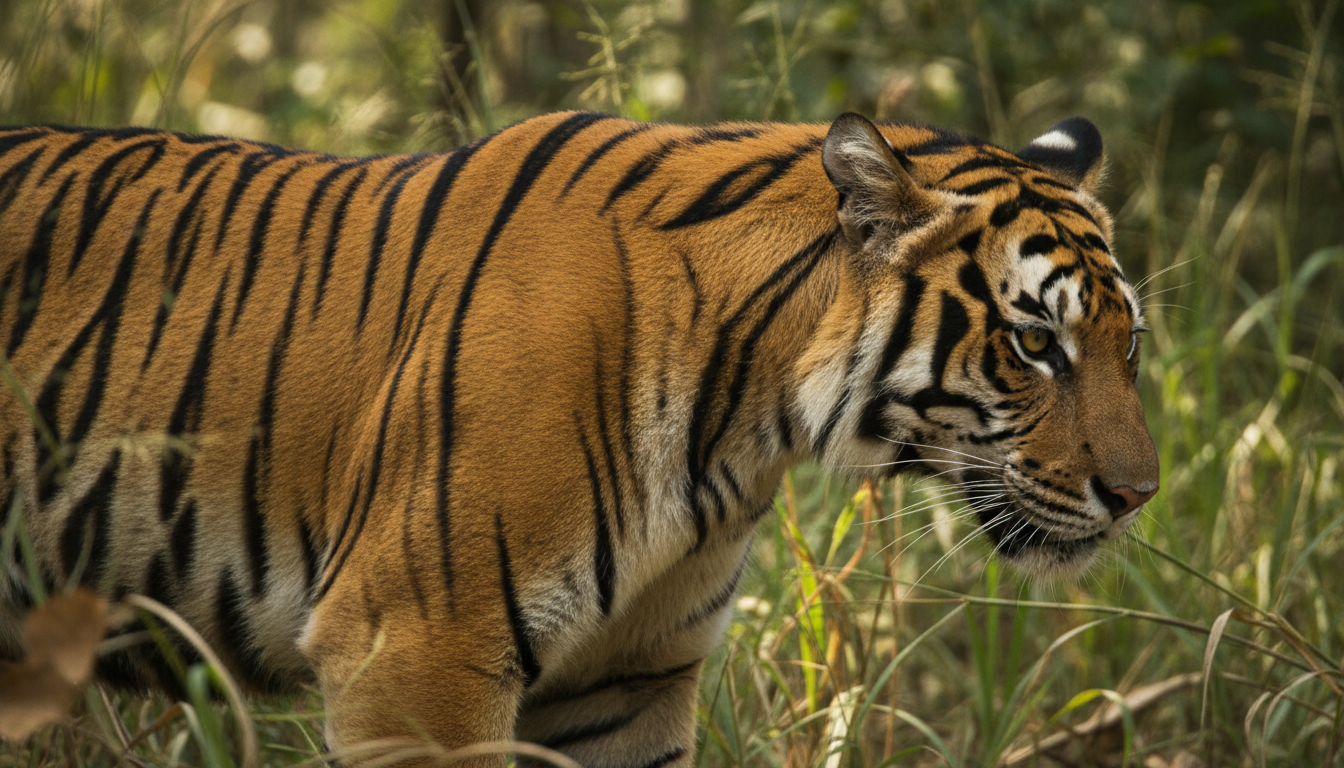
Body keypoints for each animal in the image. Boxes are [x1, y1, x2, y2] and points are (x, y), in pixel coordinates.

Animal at [0, 110, 1158, 766]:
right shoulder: (413, 651)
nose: (1138, 497)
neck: (744, 423)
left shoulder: (627, 676)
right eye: (1036, 342)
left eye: (1128, 343)